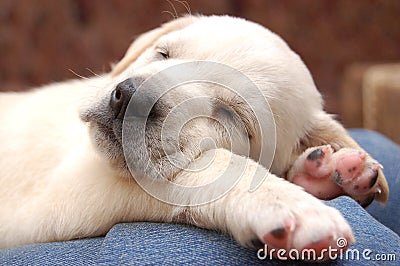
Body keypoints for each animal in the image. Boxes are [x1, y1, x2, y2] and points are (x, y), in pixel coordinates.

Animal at [0, 14, 388, 258]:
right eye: (163, 54)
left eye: (229, 115)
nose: (129, 98)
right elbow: (213, 168)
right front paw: (289, 201)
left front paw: (326, 174)